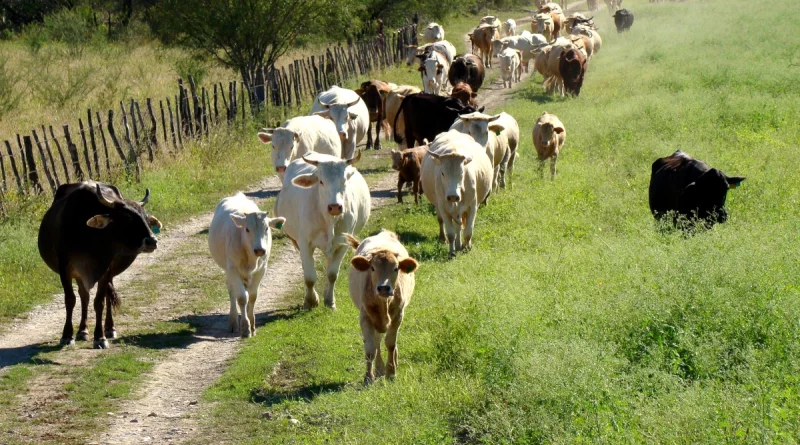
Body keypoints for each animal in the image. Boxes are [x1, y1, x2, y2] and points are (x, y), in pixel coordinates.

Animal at [38, 180, 162, 346]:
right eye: (127, 217)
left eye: (146, 217)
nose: (152, 241)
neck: (88, 235)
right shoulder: (65, 268)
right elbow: (70, 299)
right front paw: (67, 335)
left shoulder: (105, 269)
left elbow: (99, 302)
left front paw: (99, 337)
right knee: (84, 296)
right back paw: (82, 331)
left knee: (106, 296)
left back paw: (109, 328)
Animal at [208, 193, 286, 336]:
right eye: (247, 229)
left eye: (266, 228)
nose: (259, 249)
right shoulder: (233, 269)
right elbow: (242, 298)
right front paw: (245, 327)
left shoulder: (261, 269)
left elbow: (253, 296)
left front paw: (252, 325)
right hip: (228, 269)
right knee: (232, 291)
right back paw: (233, 322)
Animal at [276, 153, 372, 308]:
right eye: (321, 181)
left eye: (344, 180)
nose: (335, 207)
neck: (329, 220)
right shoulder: (304, 243)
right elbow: (309, 276)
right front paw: (310, 301)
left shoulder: (343, 244)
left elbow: (332, 274)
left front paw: (329, 300)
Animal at [346, 229, 418, 386]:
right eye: (372, 268)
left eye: (396, 268)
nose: (384, 288)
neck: (383, 304)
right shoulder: (365, 317)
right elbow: (370, 350)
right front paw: (368, 377)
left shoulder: (398, 315)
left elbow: (390, 344)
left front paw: (391, 373)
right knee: (377, 341)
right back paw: (379, 370)